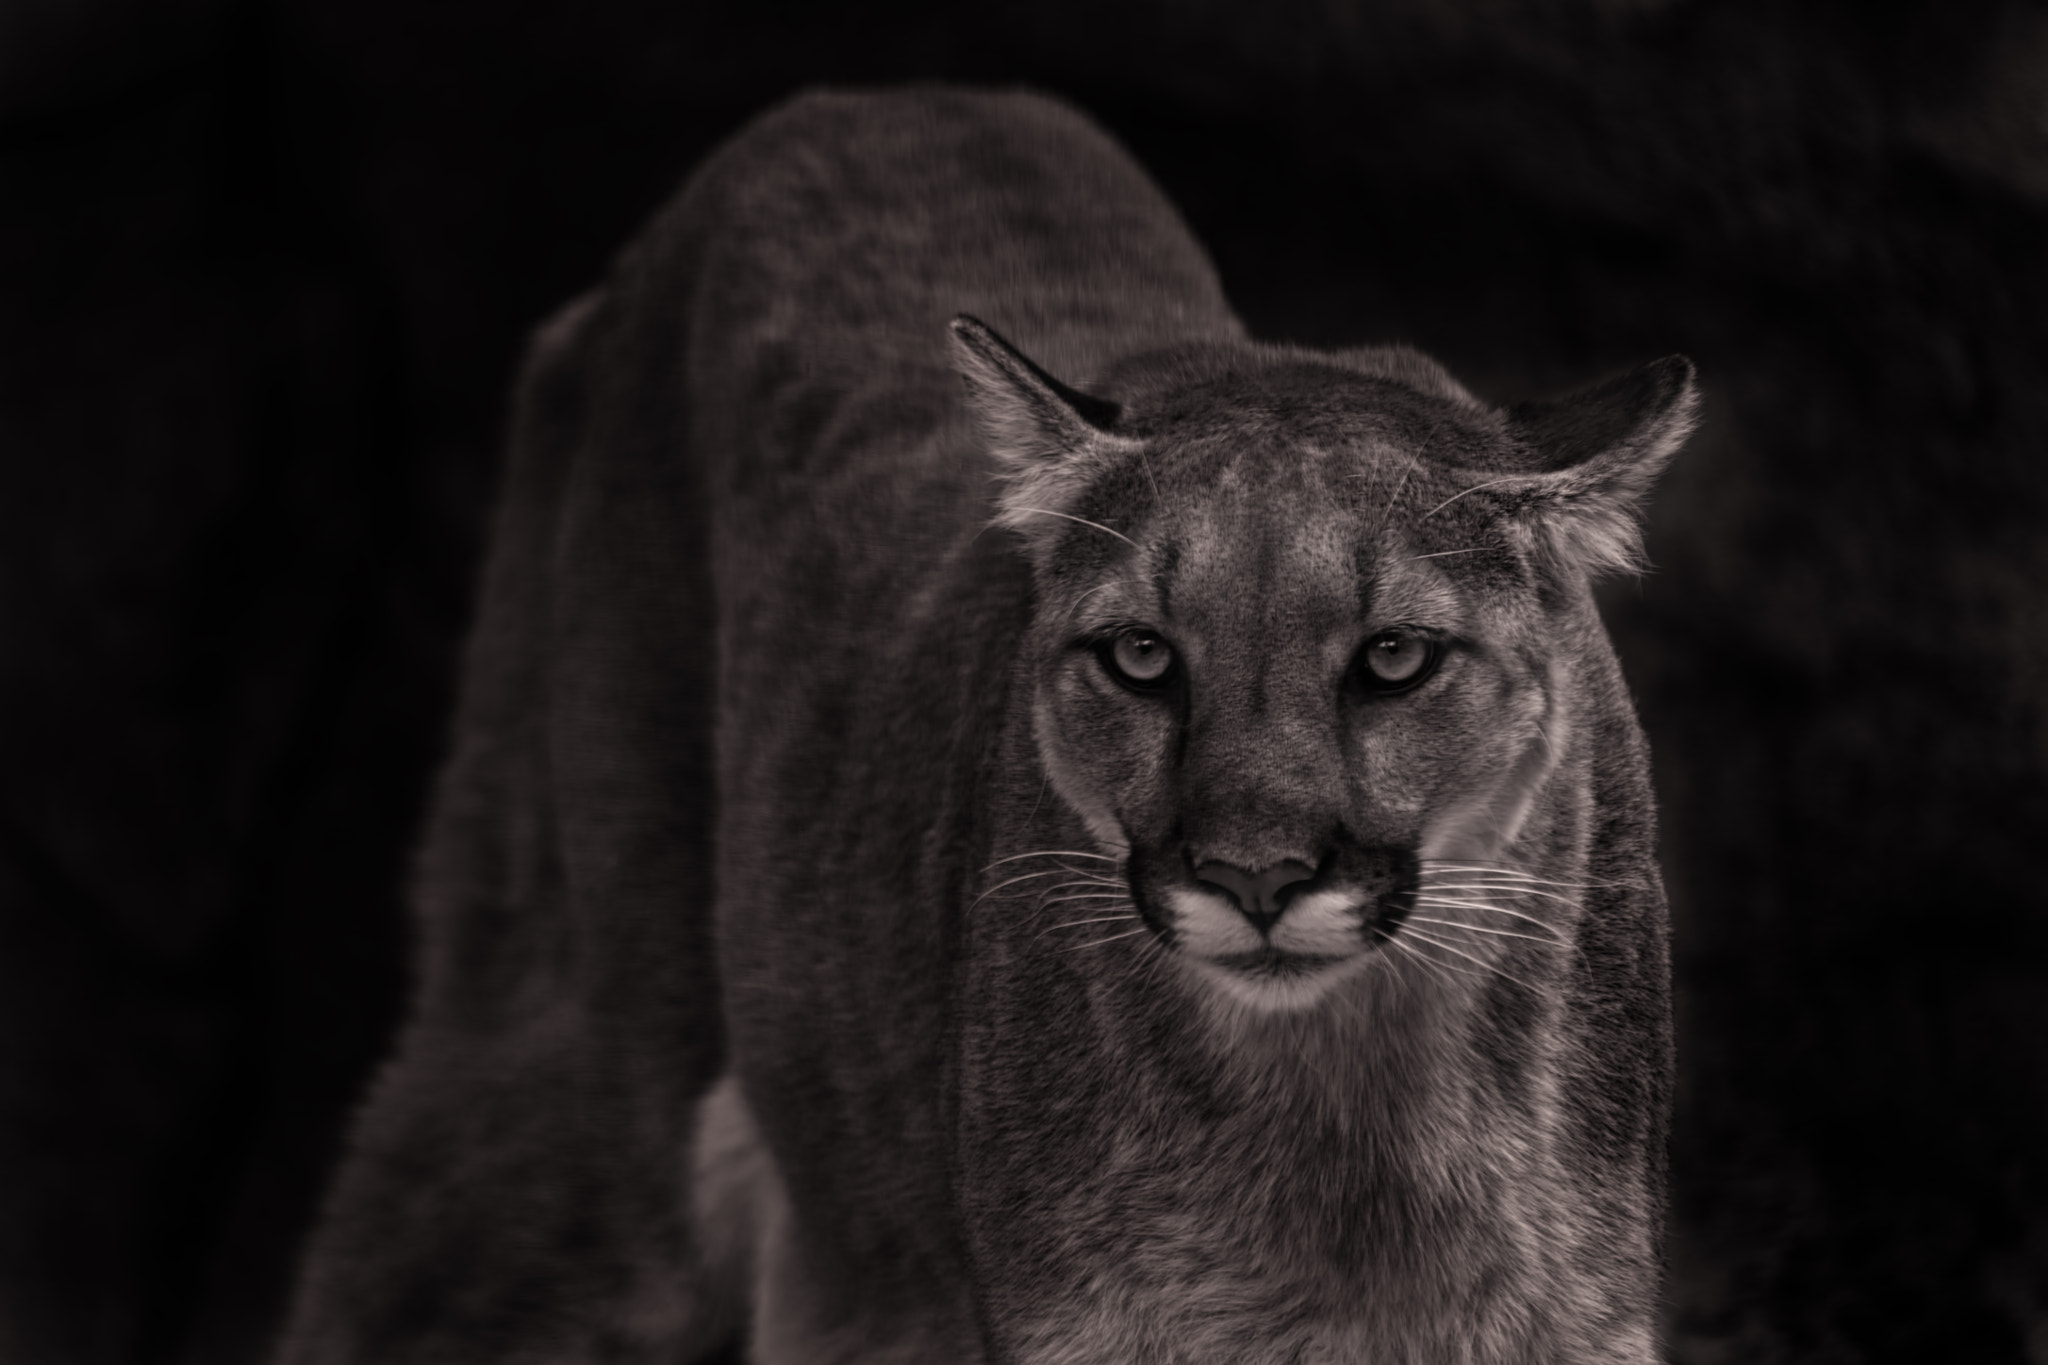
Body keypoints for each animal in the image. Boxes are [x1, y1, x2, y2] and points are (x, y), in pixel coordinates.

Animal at [275, 85, 1694, 1365]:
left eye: (1392, 657)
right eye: (1140, 656)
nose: (1253, 877)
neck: (1355, 1127)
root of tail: (856, 99)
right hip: (583, 1083)